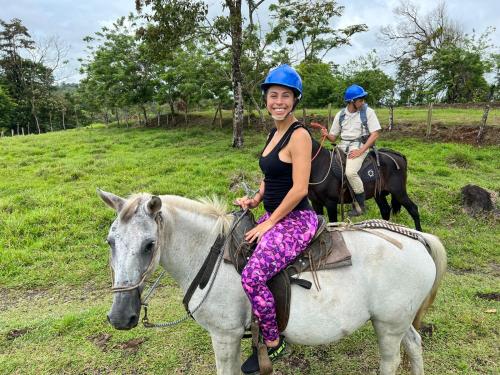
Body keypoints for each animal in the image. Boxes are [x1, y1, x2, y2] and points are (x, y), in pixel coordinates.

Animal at [96, 191, 446, 375]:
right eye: (110, 241)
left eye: (149, 245)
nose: (120, 317)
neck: (209, 255)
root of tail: (416, 237)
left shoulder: (224, 336)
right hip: (399, 321)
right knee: (414, 344)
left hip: (388, 324)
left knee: (391, 360)